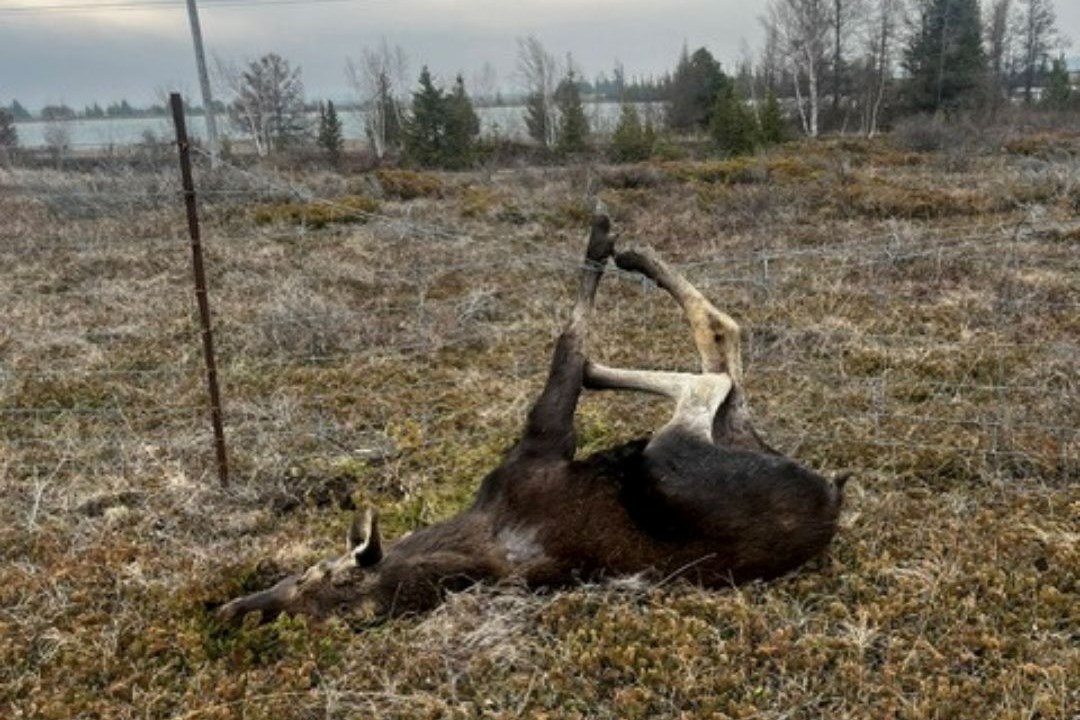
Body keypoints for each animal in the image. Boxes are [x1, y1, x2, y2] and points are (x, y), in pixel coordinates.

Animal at [217, 214, 847, 627]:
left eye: (309, 575)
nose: (237, 608)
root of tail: (833, 492)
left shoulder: (537, 448)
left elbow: (565, 345)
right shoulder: (542, 446)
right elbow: (568, 347)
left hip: (688, 453)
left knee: (717, 363)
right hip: (672, 459)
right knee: (718, 361)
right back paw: (627, 278)